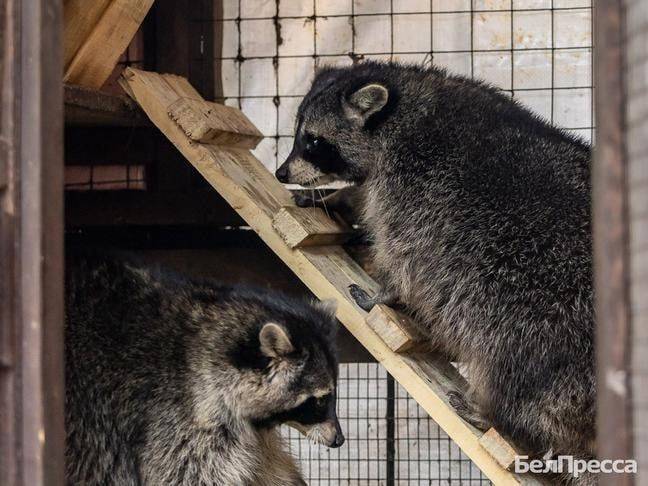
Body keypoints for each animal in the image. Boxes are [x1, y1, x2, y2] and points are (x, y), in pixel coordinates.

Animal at [276, 61, 596, 482]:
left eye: (313, 141)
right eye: (300, 135)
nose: (281, 173)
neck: (401, 109)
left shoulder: (413, 185)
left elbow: (404, 249)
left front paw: (386, 291)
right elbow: (363, 198)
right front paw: (334, 197)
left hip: (548, 318)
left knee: (512, 361)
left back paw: (498, 415)